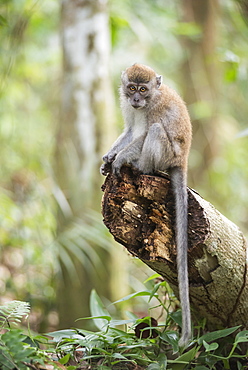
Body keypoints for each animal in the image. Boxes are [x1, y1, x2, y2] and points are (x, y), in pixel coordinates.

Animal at [101, 63, 192, 346]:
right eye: (131, 88)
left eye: (143, 89)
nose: (136, 100)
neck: (149, 101)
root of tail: (182, 161)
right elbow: (130, 130)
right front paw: (109, 156)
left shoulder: (154, 109)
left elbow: (140, 135)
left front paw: (120, 159)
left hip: (167, 155)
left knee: (154, 131)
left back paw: (139, 166)